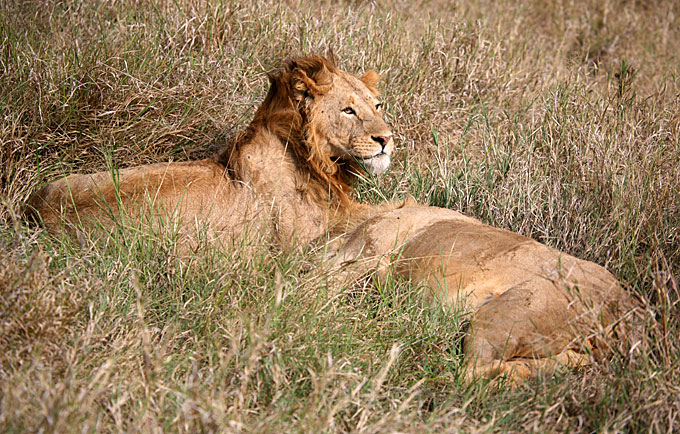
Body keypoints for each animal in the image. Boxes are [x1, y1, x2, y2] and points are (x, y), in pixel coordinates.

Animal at [26, 55, 402, 248]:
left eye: (377, 105)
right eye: (348, 111)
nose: (386, 138)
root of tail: (34, 213)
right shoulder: (303, 242)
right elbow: (390, 210)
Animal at [329, 205, 641, 382]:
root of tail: (623, 312)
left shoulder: (367, 251)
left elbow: (324, 284)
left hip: (503, 314)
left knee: (468, 374)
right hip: (569, 353)